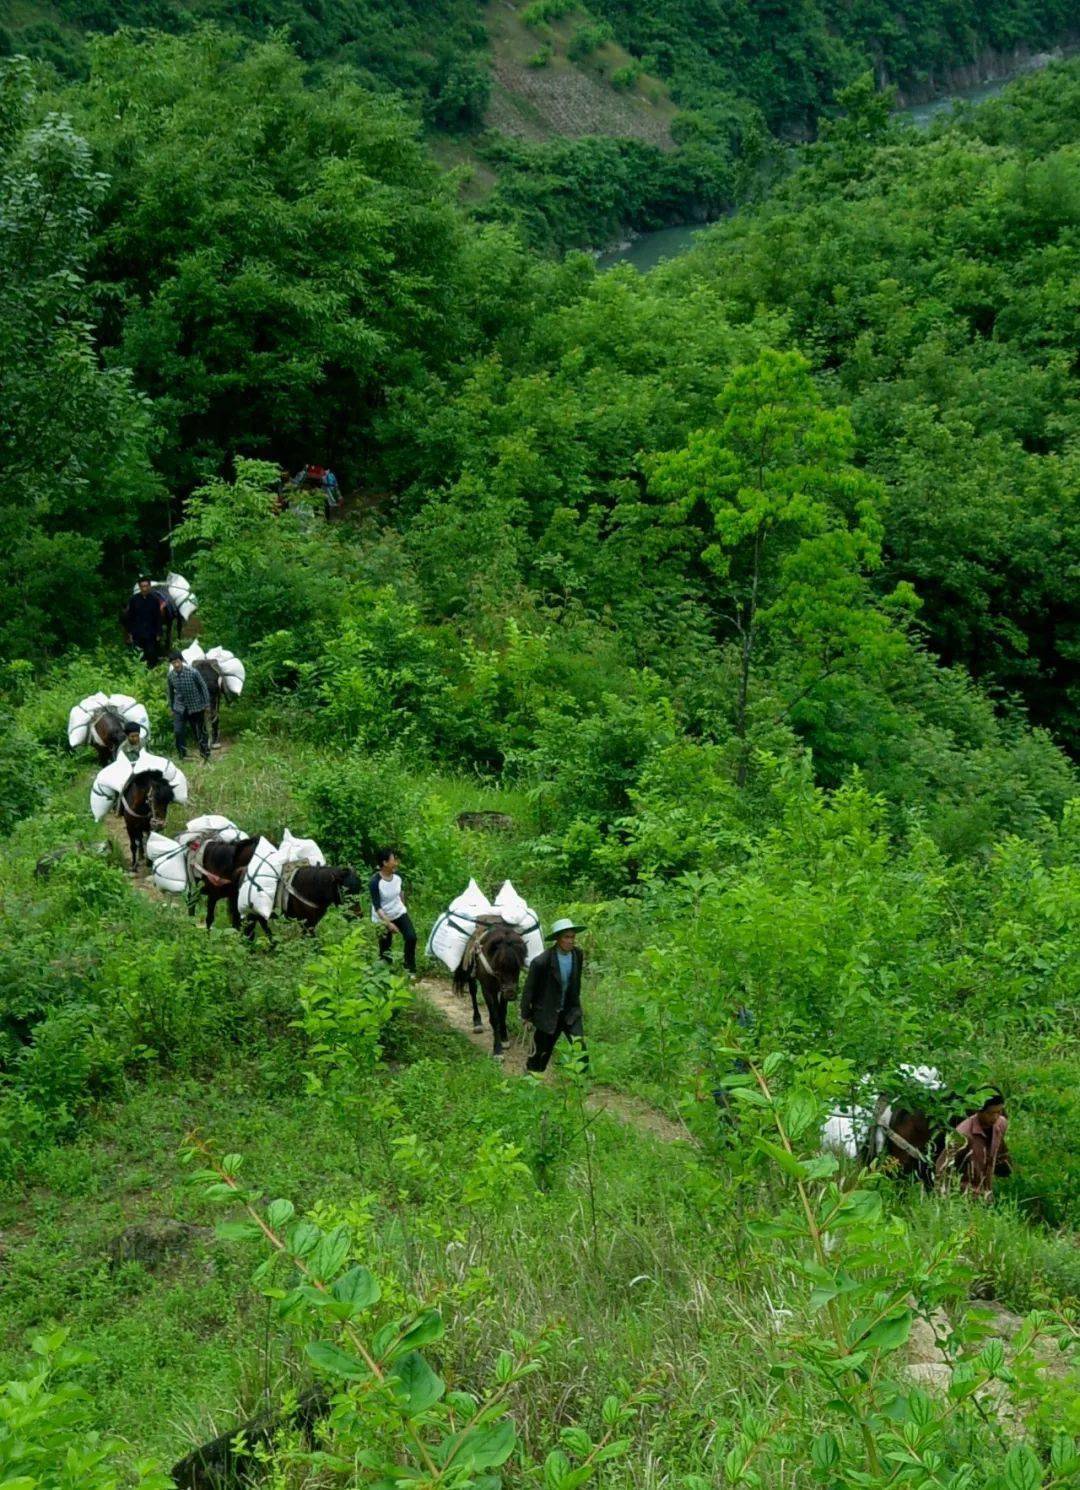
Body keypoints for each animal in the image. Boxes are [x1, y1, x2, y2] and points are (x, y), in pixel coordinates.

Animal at [449, 917, 527, 1060]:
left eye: (518, 966)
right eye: (499, 965)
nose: (511, 993)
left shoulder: (502, 990)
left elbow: (502, 1012)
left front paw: (504, 1038)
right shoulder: (488, 989)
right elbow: (495, 1016)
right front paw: (497, 1050)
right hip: (472, 974)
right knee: (473, 992)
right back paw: (477, 1022)